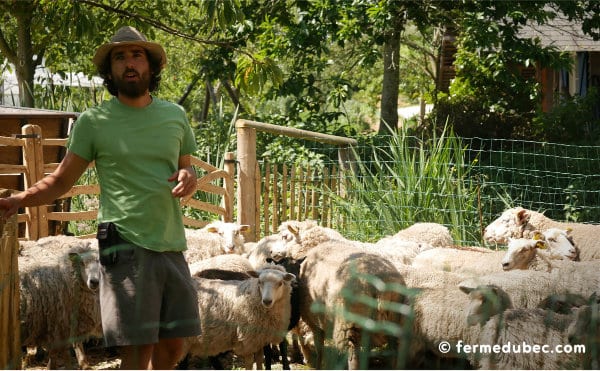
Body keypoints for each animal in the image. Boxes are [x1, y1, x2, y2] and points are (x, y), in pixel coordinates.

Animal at [298, 241, 410, 370]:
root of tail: (382, 287)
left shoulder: (314, 321)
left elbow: (319, 346)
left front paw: (318, 365)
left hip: (349, 323)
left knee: (353, 355)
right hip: (393, 323)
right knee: (393, 351)